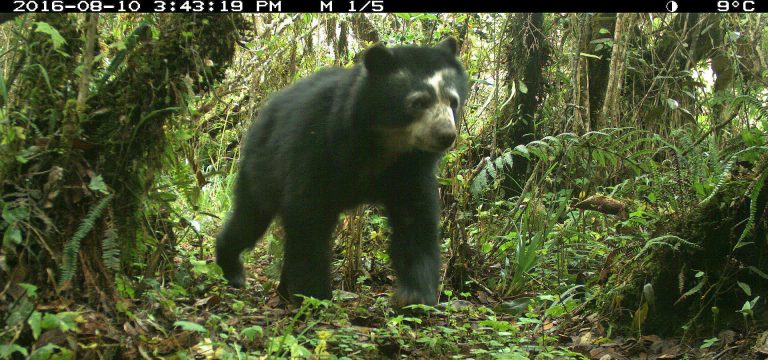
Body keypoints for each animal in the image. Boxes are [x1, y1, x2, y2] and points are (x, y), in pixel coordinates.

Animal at [216, 38, 468, 306]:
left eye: (453, 101)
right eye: (418, 102)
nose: (446, 135)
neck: (383, 142)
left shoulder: (410, 169)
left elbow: (415, 221)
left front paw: (415, 295)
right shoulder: (317, 144)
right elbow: (308, 215)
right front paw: (316, 295)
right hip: (263, 163)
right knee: (250, 217)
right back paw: (233, 270)